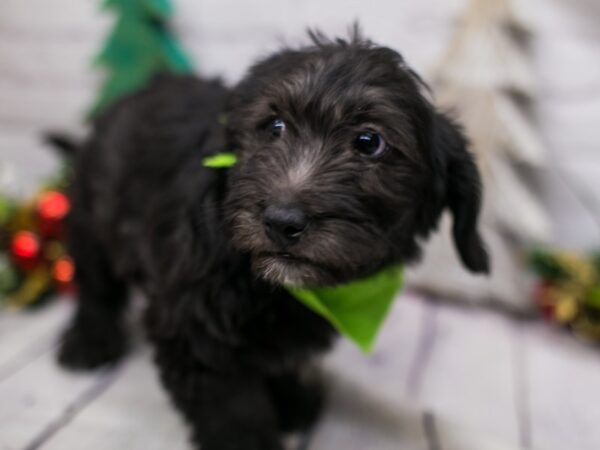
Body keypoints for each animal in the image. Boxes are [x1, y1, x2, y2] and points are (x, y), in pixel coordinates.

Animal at [57, 31, 488, 450]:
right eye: (274, 127)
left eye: (369, 142)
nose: (282, 222)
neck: (280, 291)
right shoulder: (196, 332)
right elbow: (234, 417)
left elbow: (280, 359)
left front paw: (293, 400)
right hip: (92, 217)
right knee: (95, 287)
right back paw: (88, 342)